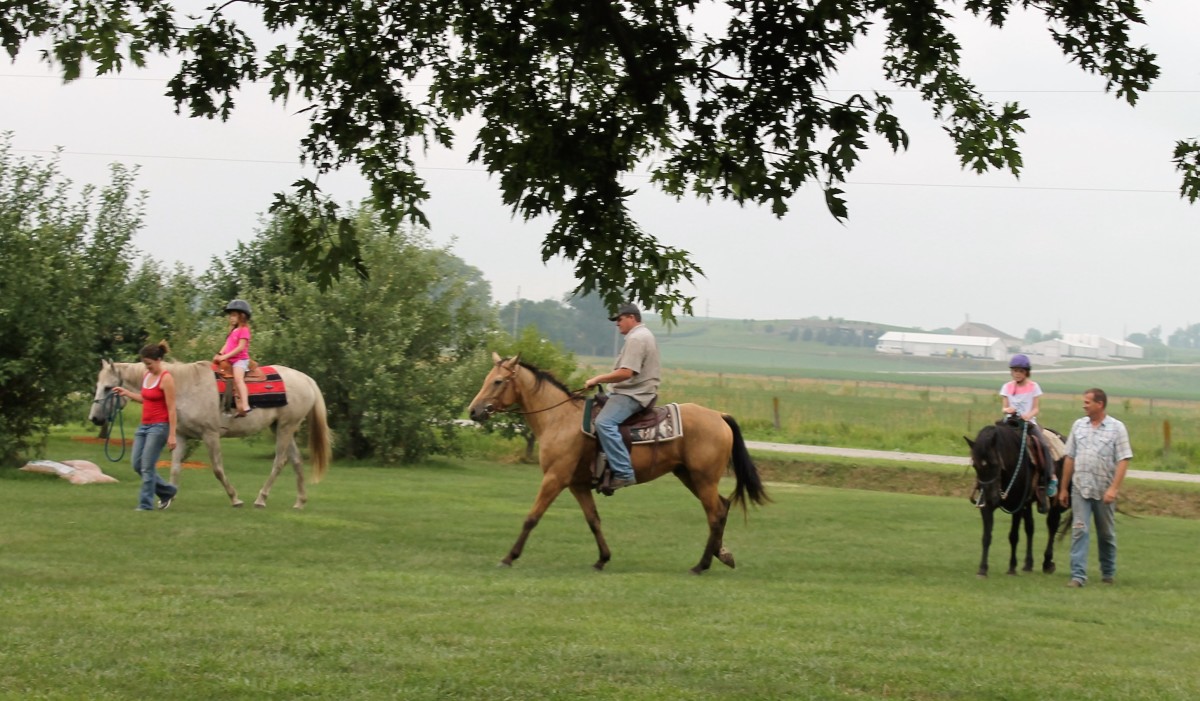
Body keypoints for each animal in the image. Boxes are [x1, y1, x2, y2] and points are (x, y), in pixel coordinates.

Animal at [87, 362, 333, 508]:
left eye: (108, 388)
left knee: (280, 462)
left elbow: (217, 469)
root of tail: (306, 379)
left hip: (285, 427)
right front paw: (169, 497)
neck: (184, 388)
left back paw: (261, 498)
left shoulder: (210, 435)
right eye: (98, 384)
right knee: (296, 461)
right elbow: (175, 469)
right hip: (281, 427)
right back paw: (300, 501)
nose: (94, 418)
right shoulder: (181, 436)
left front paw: (235, 498)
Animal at [468, 352, 768, 571]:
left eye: (498, 381)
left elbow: (532, 517)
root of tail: (719, 415)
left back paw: (702, 564)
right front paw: (603, 558)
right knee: (722, 507)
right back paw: (722, 554)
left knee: (714, 514)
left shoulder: (555, 478)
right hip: (689, 476)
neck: (560, 420)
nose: (473, 411)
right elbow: (593, 520)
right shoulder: (577, 485)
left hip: (703, 478)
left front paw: (509, 557)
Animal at [964, 422, 1070, 576]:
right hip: (1028, 504)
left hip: (1055, 501)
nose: (991, 497)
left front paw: (1012, 567)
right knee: (1030, 528)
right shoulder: (987, 506)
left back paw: (1047, 563)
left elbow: (1013, 536)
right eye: (975, 465)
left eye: (995, 463)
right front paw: (983, 568)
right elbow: (987, 536)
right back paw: (1028, 564)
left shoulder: (1017, 506)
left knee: (1052, 525)